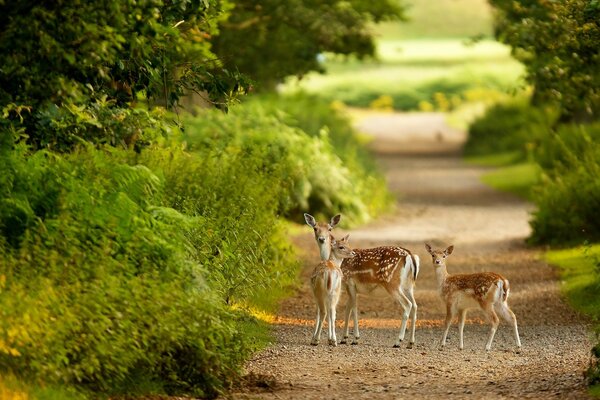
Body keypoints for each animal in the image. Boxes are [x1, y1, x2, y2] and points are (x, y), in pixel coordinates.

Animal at [302, 212, 420, 346]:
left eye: (330, 228)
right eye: (315, 228)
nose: (322, 239)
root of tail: (410, 256)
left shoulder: (349, 282)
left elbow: (353, 308)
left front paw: (355, 338)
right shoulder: (347, 287)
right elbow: (347, 309)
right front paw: (344, 338)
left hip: (392, 283)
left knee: (407, 304)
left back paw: (398, 341)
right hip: (408, 286)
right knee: (415, 305)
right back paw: (410, 342)